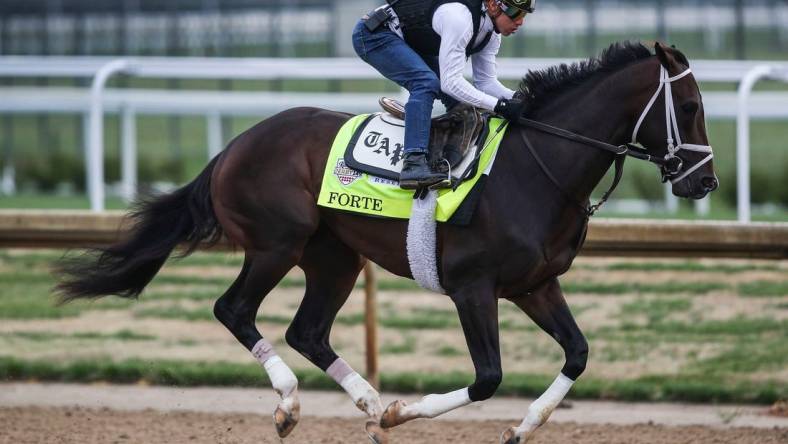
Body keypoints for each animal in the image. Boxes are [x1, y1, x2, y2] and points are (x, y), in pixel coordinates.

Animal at [55, 42, 716, 444]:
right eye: (688, 106)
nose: (704, 181)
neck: (538, 168)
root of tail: (234, 145)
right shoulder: (473, 288)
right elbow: (488, 377)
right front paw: (402, 413)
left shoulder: (535, 284)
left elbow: (577, 354)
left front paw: (521, 428)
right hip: (277, 243)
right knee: (234, 309)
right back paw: (294, 404)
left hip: (335, 257)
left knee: (307, 331)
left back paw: (368, 405)